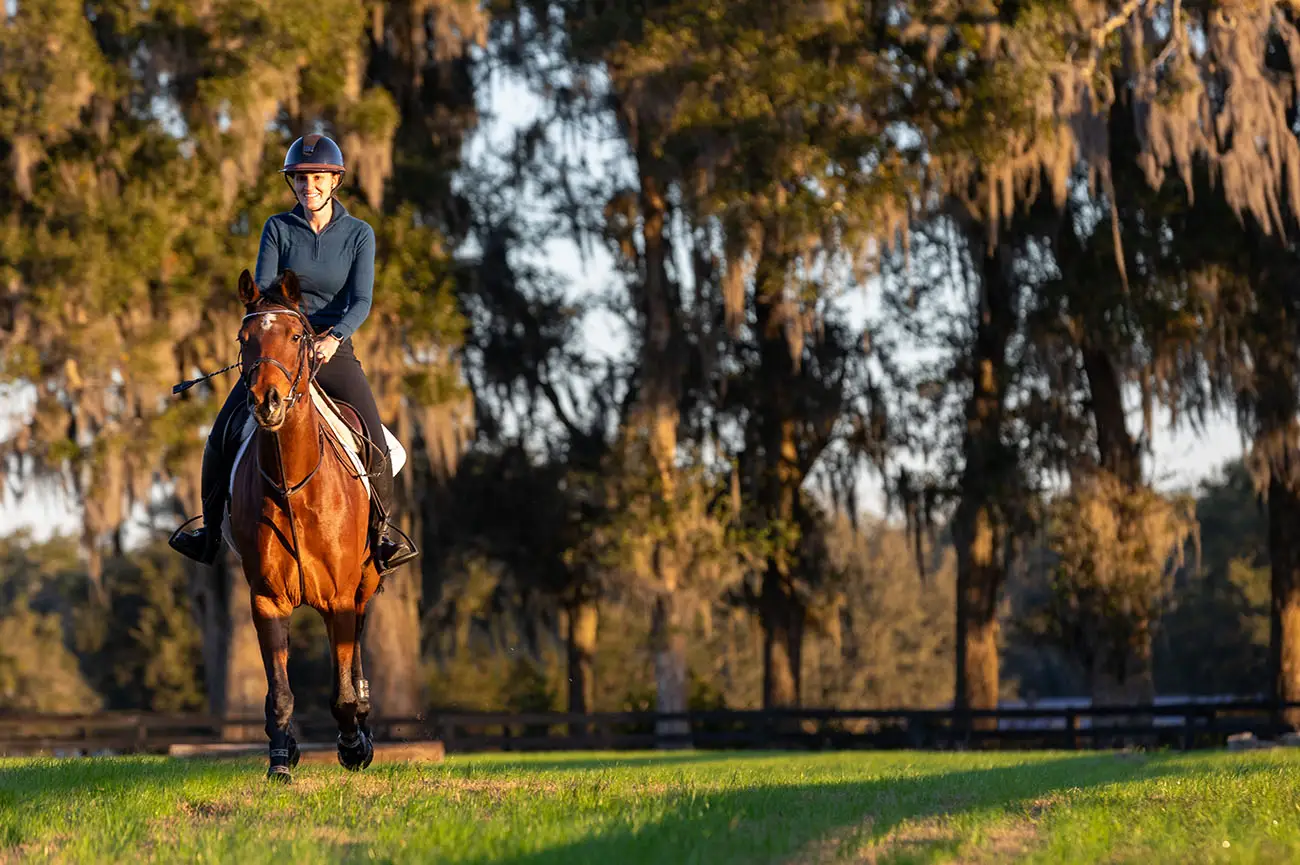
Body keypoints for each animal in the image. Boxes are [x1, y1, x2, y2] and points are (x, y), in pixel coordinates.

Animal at [227, 267, 383, 781]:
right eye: (245, 339)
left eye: (297, 336)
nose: (268, 402)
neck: (293, 483)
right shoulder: (267, 600)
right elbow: (279, 693)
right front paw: (281, 758)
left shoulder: (339, 598)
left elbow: (341, 692)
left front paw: (353, 747)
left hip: (365, 583)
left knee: (356, 654)